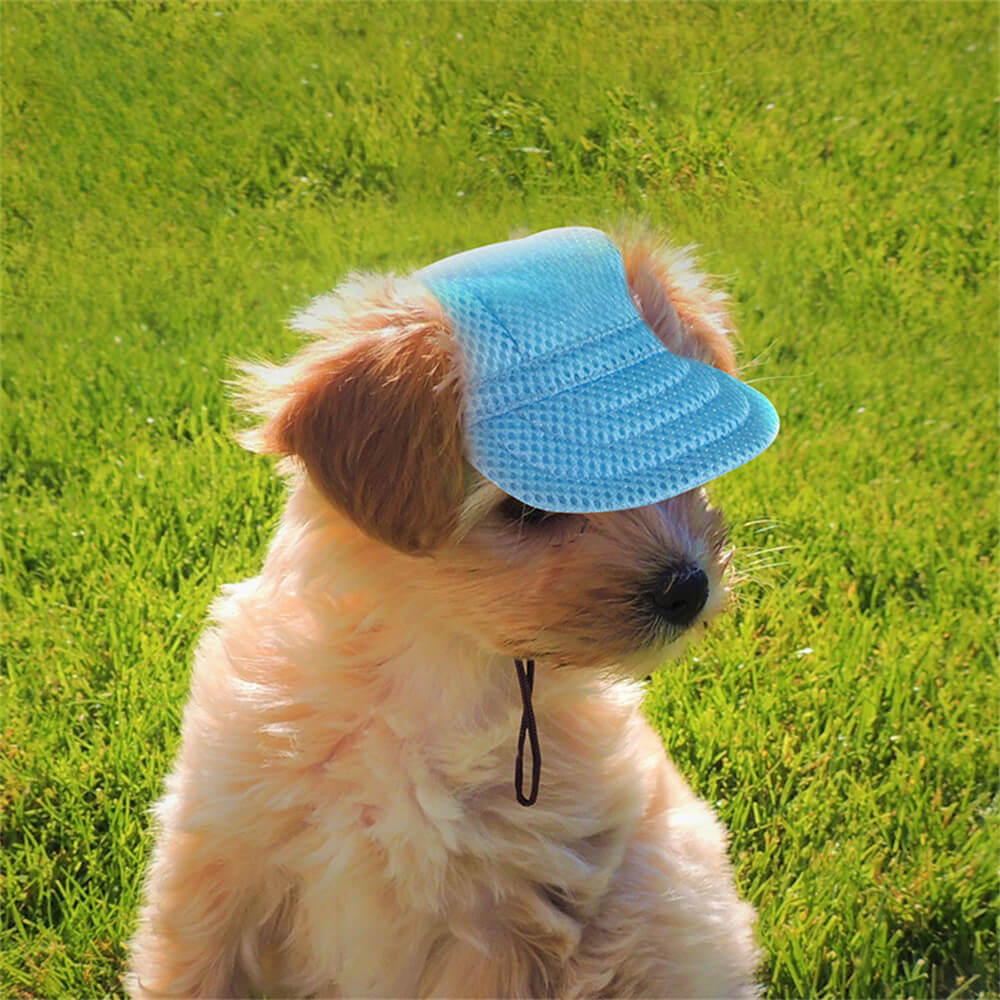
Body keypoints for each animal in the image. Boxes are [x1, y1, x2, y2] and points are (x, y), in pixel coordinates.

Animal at [129, 230, 760, 996]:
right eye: (530, 508)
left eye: (679, 468)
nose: (687, 588)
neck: (441, 669)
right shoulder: (223, 855)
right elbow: (190, 972)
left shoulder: (501, 922)